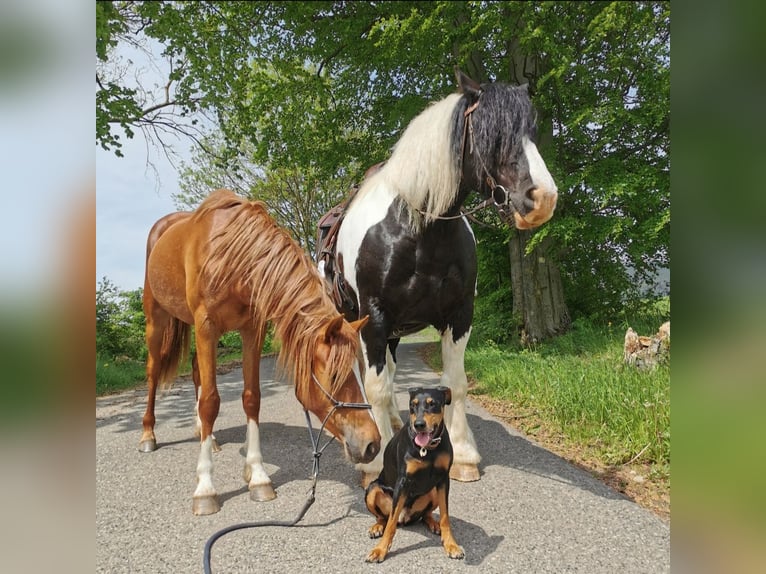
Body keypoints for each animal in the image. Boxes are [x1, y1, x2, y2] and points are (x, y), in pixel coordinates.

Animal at [141, 190, 380, 516]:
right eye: (333, 375)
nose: (373, 444)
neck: (232, 255)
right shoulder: (206, 326)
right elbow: (211, 402)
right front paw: (205, 488)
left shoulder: (251, 329)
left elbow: (252, 398)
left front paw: (257, 476)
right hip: (157, 320)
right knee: (153, 373)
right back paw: (148, 435)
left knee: (195, 371)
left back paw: (208, 437)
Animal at [318, 68, 560, 486]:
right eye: (490, 132)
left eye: (532, 129)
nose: (542, 199)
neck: (418, 230)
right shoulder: (374, 318)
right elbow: (377, 388)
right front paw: (375, 461)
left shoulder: (459, 314)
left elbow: (454, 385)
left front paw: (463, 454)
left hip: (394, 333)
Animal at [364, 384, 464, 564]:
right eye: (413, 405)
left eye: (432, 404)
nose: (419, 425)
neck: (427, 449)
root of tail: (405, 518)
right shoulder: (403, 482)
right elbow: (390, 524)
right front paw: (380, 550)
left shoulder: (443, 480)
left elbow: (445, 516)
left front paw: (451, 545)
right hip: (372, 488)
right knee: (384, 517)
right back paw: (377, 527)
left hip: (432, 491)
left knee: (425, 515)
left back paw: (434, 524)